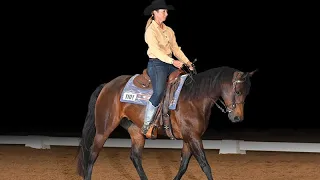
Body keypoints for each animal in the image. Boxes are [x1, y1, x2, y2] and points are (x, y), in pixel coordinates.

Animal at [75, 65, 258, 179]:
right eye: (238, 91)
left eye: (247, 93)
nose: (237, 118)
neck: (194, 98)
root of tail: (107, 85)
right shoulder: (193, 137)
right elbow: (205, 165)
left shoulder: (189, 138)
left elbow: (183, 166)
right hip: (103, 129)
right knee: (91, 155)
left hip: (137, 132)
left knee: (135, 158)